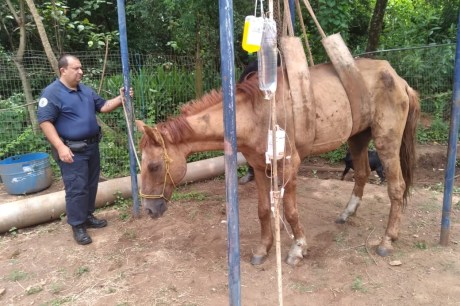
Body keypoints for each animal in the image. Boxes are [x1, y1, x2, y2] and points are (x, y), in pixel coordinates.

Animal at [135, 57, 418, 266]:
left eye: (154, 166)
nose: (149, 210)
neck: (256, 114)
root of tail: (399, 79)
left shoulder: (289, 167)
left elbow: (291, 211)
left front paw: (298, 248)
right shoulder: (261, 168)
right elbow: (263, 210)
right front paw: (263, 249)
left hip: (387, 142)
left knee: (396, 187)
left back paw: (387, 240)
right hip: (358, 138)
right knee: (361, 174)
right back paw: (347, 213)